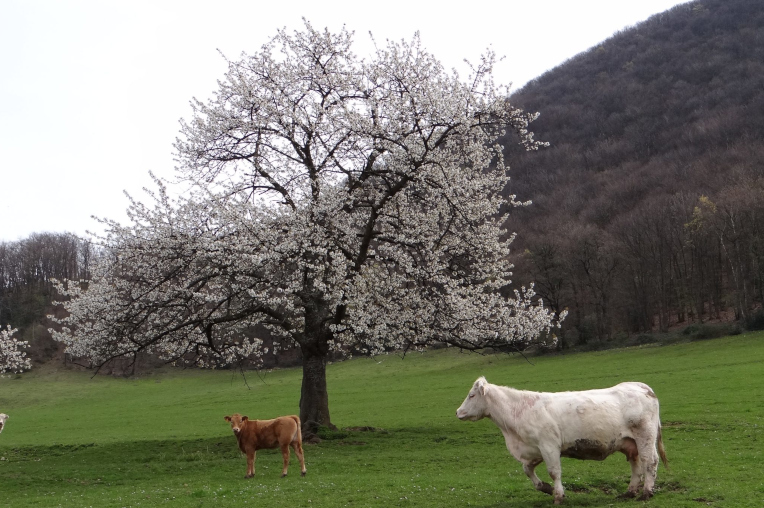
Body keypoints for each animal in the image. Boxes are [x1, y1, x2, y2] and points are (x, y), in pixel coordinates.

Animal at [456, 377, 667, 504]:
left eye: (471, 395)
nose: (458, 412)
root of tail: (640, 386)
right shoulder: (535, 449)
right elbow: (527, 470)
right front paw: (545, 488)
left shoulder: (549, 446)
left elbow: (554, 472)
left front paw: (558, 496)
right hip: (630, 443)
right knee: (636, 465)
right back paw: (629, 492)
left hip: (645, 436)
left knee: (650, 461)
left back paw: (646, 492)